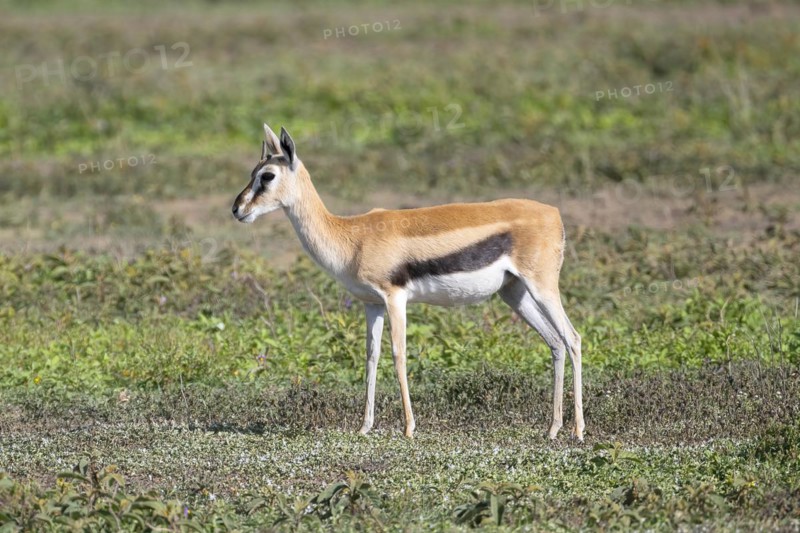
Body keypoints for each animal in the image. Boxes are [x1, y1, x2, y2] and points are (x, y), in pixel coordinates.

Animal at [232, 124, 585, 441]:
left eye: (267, 176)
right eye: (253, 171)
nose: (237, 209)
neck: (352, 237)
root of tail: (553, 214)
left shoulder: (395, 298)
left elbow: (399, 355)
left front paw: (409, 428)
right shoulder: (371, 304)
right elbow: (371, 357)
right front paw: (364, 427)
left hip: (542, 287)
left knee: (573, 338)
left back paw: (578, 431)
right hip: (515, 294)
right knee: (555, 343)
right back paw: (552, 429)